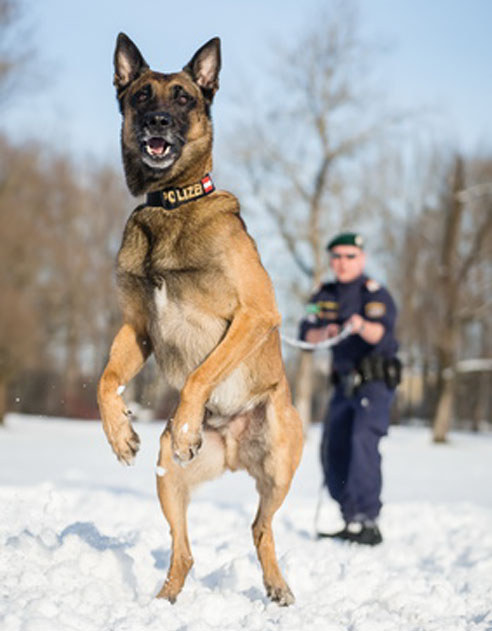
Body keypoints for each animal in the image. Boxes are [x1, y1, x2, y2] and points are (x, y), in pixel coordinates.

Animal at [97, 34, 302, 608]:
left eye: (184, 98)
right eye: (142, 95)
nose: (158, 122)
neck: (170, 205)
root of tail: (232, 448)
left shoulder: (255, 314)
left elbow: (201, 373)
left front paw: (189, 423)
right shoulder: (138, 328)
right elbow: (105, 380)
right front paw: (120, 435)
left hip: (279, 464)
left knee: (261, 527)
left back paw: (277, 586)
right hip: (169, 473)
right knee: (185, 550)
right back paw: (164, 601)